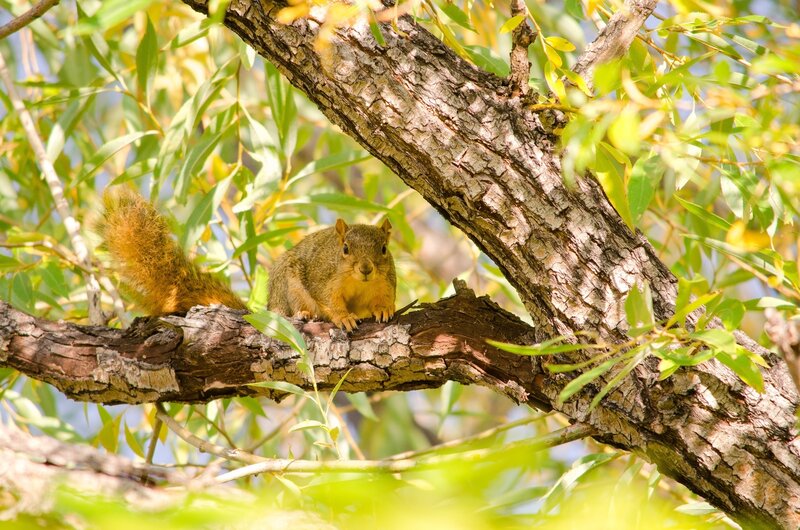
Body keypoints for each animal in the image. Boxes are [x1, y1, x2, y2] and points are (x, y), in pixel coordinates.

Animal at [99, 188, 396, 330]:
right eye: (345, 249)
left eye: (384, 249)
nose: (366, 269)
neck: (360, 284)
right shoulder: (324, 278)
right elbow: (329, 300)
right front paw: (343, 317)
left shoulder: (386, 283)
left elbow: (383, 300)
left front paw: (384, 309)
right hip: (286, 286)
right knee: (289, 309)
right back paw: (303, 313)